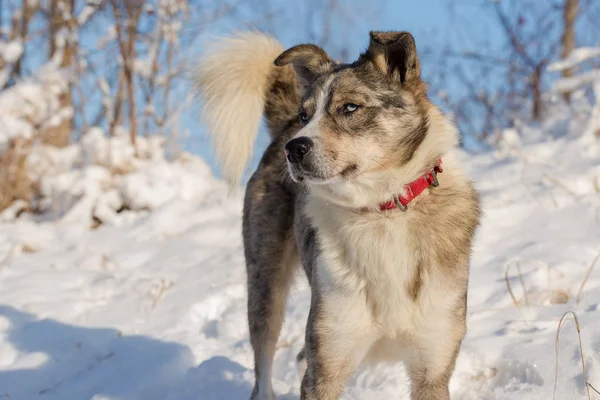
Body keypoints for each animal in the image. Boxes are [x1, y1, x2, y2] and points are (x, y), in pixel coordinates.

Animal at [195, 29, 480, 398]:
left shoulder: (432, 368)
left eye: (350, 107)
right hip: (265, 288)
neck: (382, 211)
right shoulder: (326, 366)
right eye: (307, 116)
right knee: (264, 368)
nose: (294, 149)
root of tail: (282, 129)